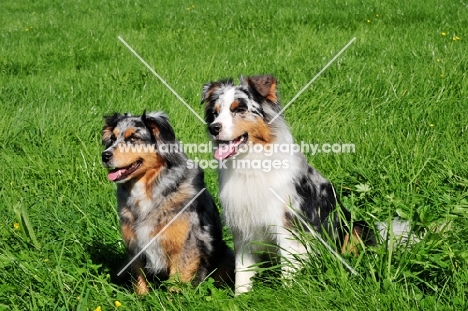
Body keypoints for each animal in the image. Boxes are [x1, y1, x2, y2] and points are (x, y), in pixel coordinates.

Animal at [101, 111, 234, 294]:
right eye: (112, 138)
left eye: (133, 138)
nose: (104, 155)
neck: (149, 190)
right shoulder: (135, 246)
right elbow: (139, 279)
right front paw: (141, 297)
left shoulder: (186, 245)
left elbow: (176, 283)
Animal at [199, 75, 374, 294]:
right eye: (215, 113)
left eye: (239, 109)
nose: (213, 128)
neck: (251, 163)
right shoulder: (243, 227)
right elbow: (242, 272)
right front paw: (241, 297)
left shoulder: (288, 227)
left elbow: (288, 271)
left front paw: (288, 293)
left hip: (357, 228)